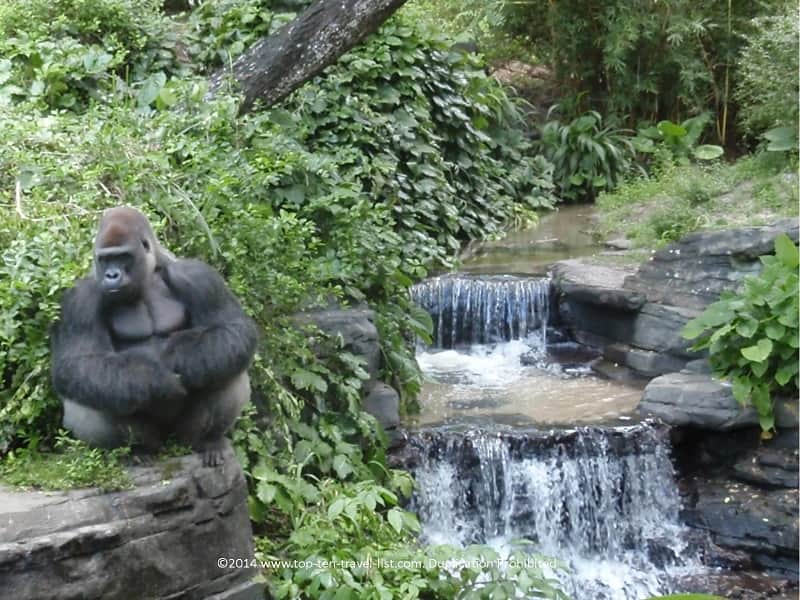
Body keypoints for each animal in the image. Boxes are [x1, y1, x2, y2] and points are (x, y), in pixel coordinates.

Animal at [51, 206, 258, 466]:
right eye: (105, 259)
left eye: (123, 256)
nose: (111, 275)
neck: (148, 276)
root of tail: (168, 444)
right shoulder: (80, 299)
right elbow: (78, 362)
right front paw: (158, 380)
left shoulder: (198, 276)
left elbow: (233, 328)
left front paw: (178, 359)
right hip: (153, 438)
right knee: (88, 394)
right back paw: (137, 450)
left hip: (181, 435)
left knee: (227, 368)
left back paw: (207, 440)